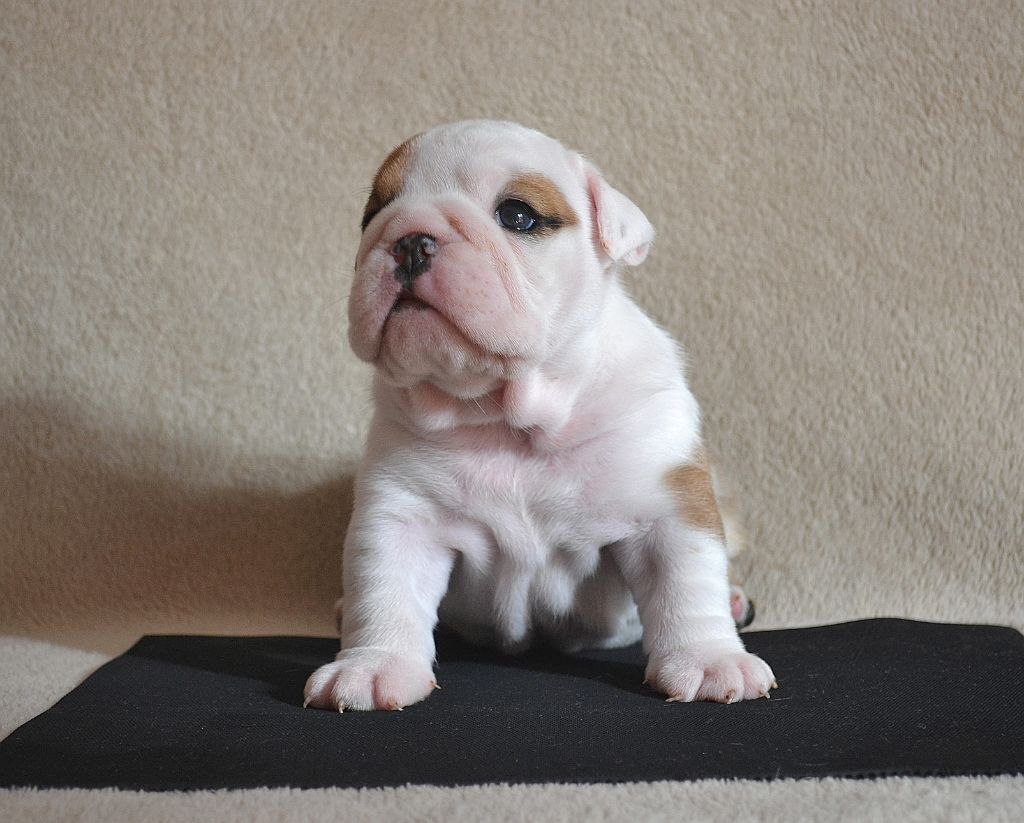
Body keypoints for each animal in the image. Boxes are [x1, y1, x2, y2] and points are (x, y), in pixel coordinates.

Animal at [304, 120, 775, 711]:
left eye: (518, 215)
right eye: (374, 213)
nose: (409, 238)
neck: (507, 417)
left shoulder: (666, 506)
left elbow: (687, 582)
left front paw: (711, 659)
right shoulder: (401, 514)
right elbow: (386, 588)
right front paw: (373, 665)